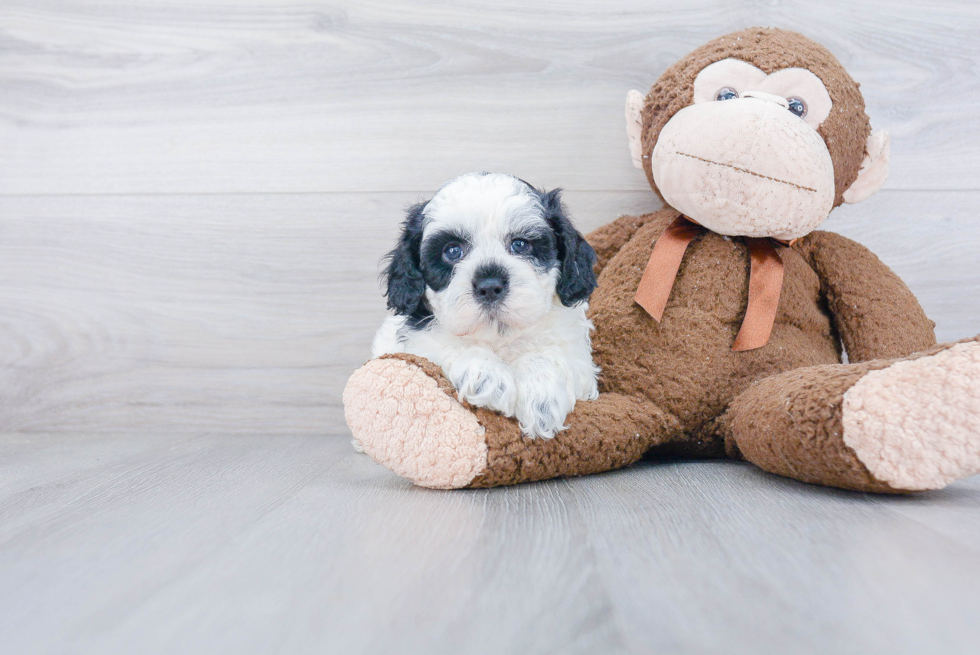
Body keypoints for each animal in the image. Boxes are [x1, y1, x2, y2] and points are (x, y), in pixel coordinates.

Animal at [374, 172, 596, 438]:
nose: (489, 286)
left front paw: (541, 396)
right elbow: (451, 344)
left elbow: (547, 355)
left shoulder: (578, 356)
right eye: (452, 251)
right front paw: (487, 376)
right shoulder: (417, 346)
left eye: (520, 245)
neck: (498, 338)